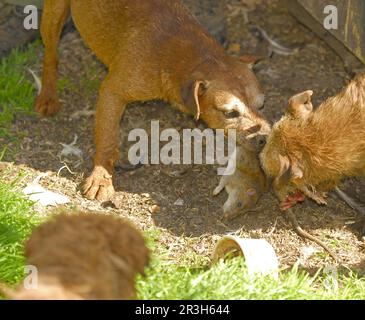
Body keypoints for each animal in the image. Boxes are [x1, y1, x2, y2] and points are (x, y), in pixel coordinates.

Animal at [36, 0, 270, 201]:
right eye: (230, 113)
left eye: (262, 105)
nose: (265, 139)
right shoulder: (112, 92)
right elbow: (107, 140)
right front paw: (101, 177)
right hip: (53, 15)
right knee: (50, 53)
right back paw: (48, 95)